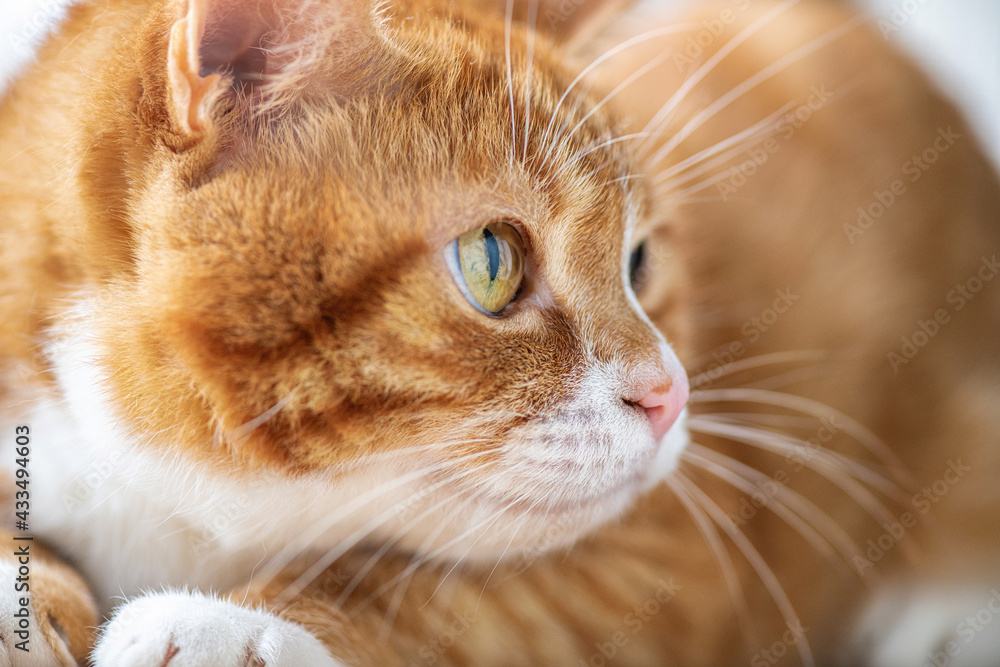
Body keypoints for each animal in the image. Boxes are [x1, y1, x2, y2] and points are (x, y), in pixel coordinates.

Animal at [0, 0, 996, 664]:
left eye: (638, 262)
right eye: (492, 261)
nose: (673, 395)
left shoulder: (667, 548)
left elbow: (449, 598)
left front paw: (242, 624)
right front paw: (37, 602)